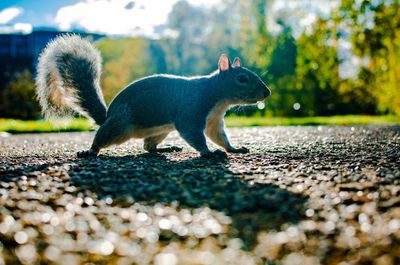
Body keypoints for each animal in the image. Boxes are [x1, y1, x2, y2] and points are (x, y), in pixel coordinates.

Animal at [35, 34, 272, 158]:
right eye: (242, 78)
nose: (267, 92)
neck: (216, 96)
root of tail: (108, 116)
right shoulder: (191, 111)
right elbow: (195, 134)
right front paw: (209, 153)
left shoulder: (214, 120)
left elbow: (219, 136)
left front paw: (233, 148)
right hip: (119, 126)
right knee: (103, 138)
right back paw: (90, 151)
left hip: (159, 131)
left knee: (148, 148)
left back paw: (167, 148)